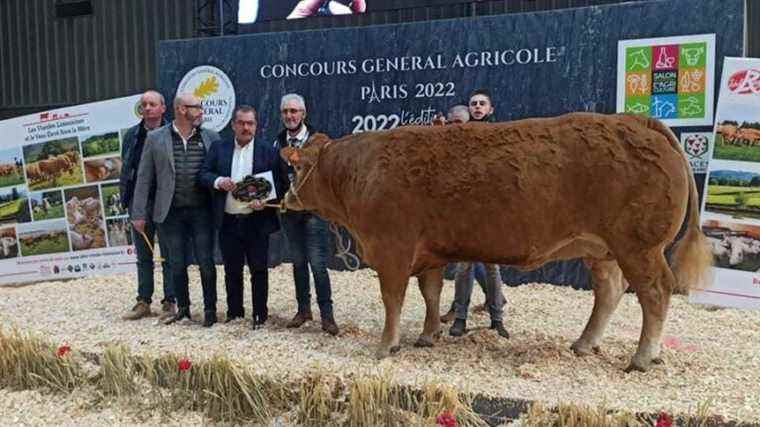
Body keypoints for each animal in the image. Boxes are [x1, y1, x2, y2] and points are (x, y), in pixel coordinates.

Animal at [280, 113, 712, 372]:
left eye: (297, 168)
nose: (285, 200)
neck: (358, 172)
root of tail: (636, 120)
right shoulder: (429, 253)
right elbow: (431, 293)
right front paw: (428, 335)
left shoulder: (391, 249)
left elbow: (393, 299)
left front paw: (387, 345)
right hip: (602, 250)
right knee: (609, 291)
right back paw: (584, 343)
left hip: (639, 247)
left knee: (654, 293)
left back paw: (642, 356)